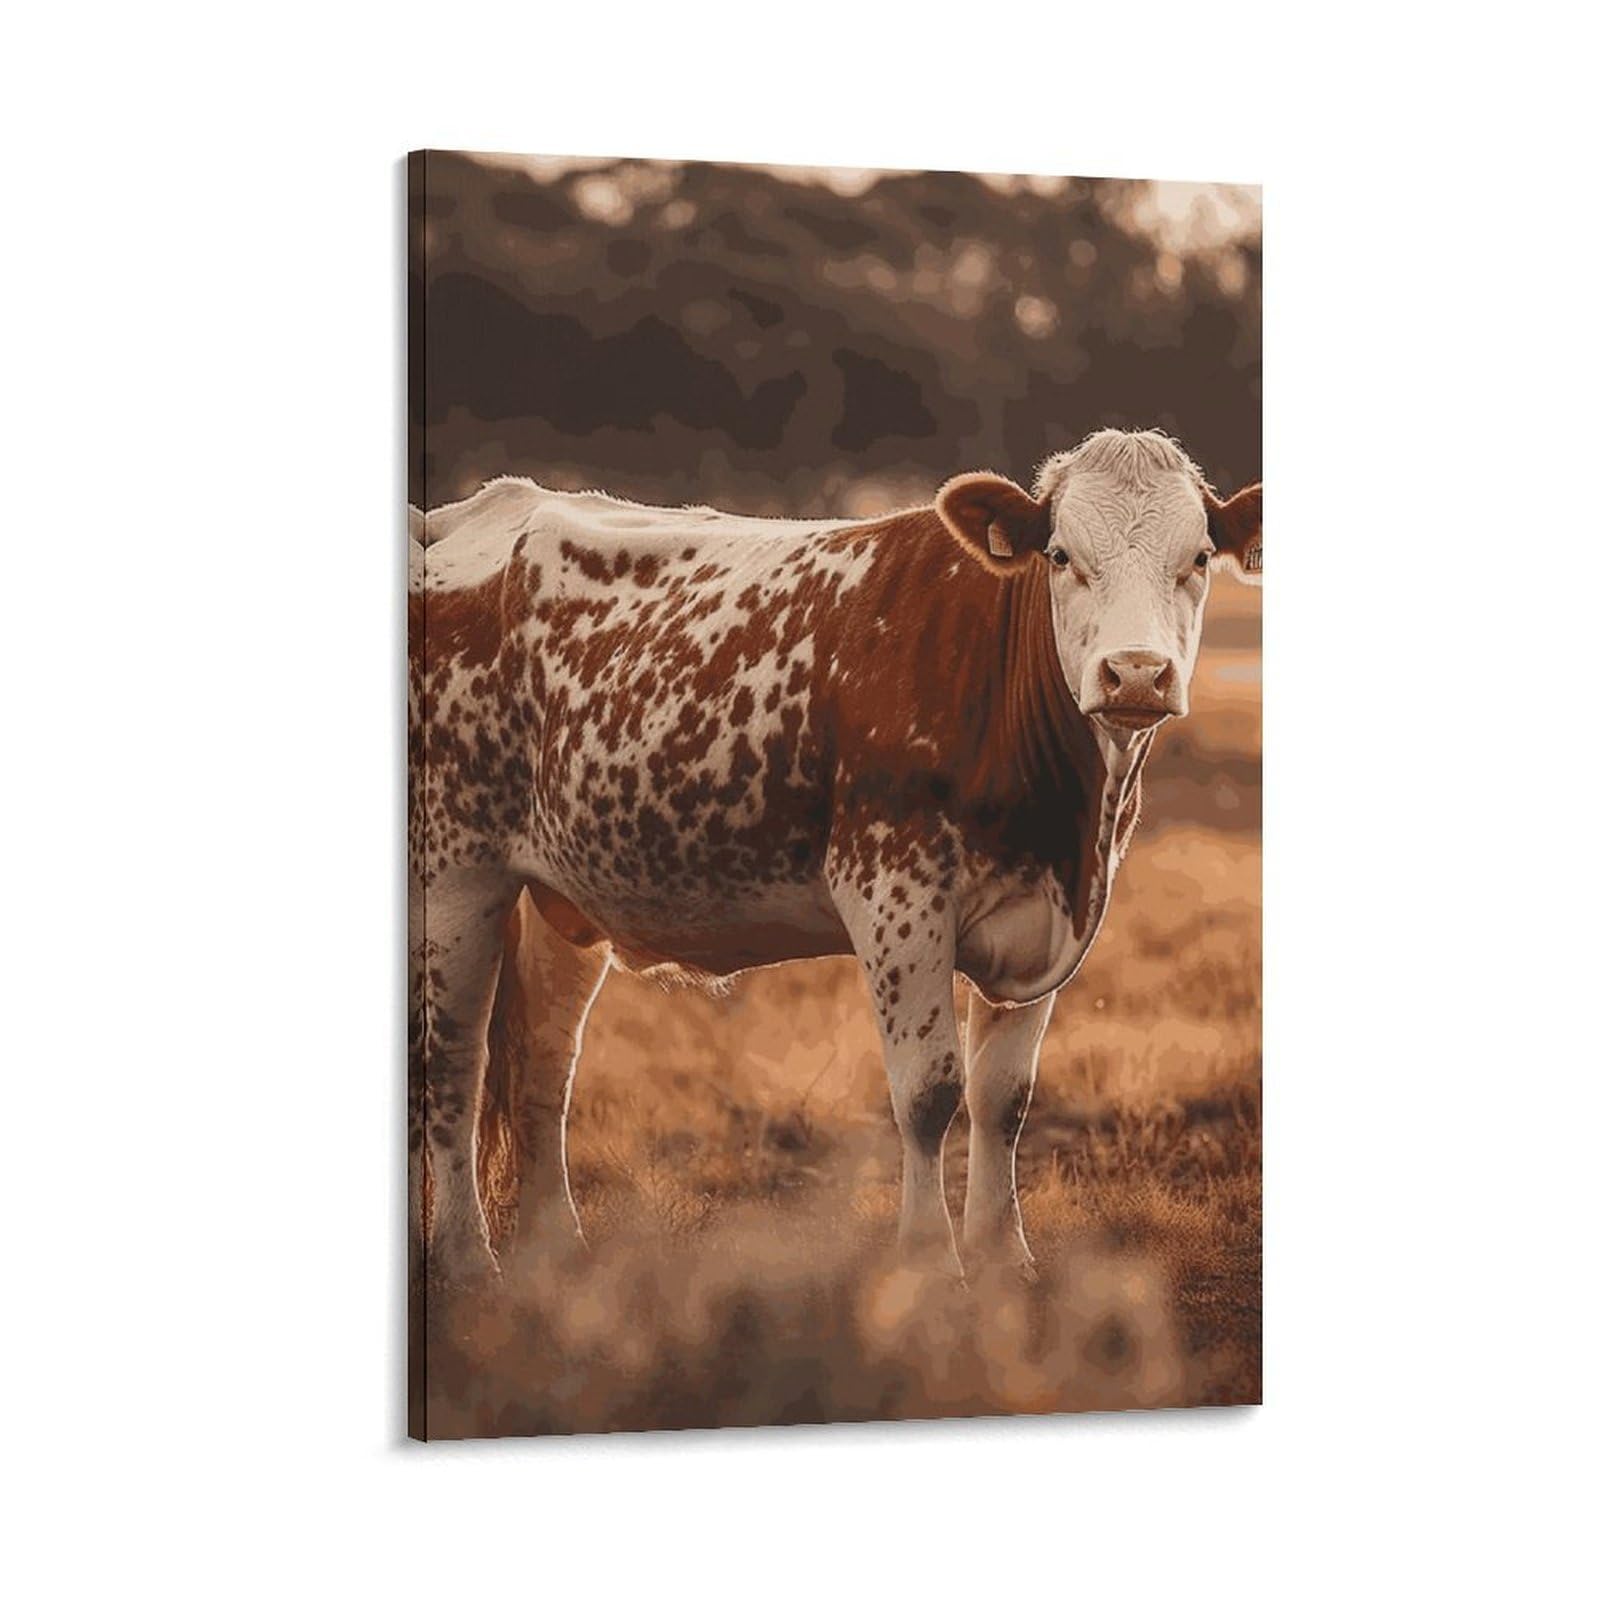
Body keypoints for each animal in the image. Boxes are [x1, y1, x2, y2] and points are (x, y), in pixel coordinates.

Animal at [409, 429, 1262, 1292]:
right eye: (1060, 555)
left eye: (1198, 557)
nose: (1136, 673)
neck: (1066, 823)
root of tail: (474, 511)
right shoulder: (895, 893)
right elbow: (929, 1092)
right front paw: (931, 1259)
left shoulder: (1045, 915)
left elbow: (1004, 1097)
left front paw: (1006, 1256)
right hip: (455, 875)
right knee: (453, 1064)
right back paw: (468, 1258)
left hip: (558, 901)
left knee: (543, 1069)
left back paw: (560, 1249)